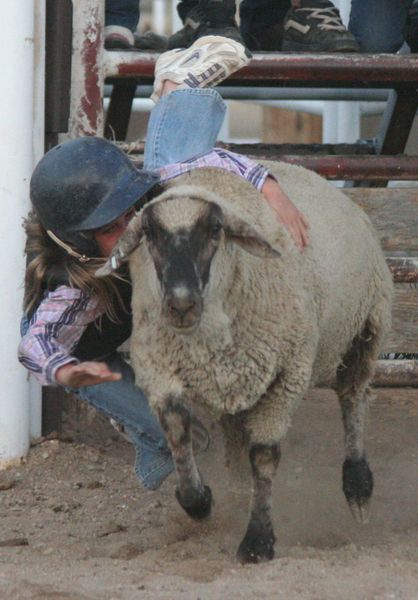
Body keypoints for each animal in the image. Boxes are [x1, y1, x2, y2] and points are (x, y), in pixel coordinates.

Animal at [96, 159, 394, 564]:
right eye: (150, 233)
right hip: (240, 382)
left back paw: (359, 488)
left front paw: (258, 541)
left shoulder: (288, 375)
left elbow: (265, 457)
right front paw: (199, 502)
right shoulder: (158, 368)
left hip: (368, 325)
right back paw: (237, 497)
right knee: (237, 437)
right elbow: (177, 431)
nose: (180, 304)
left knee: (354, 398)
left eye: (215, 229)